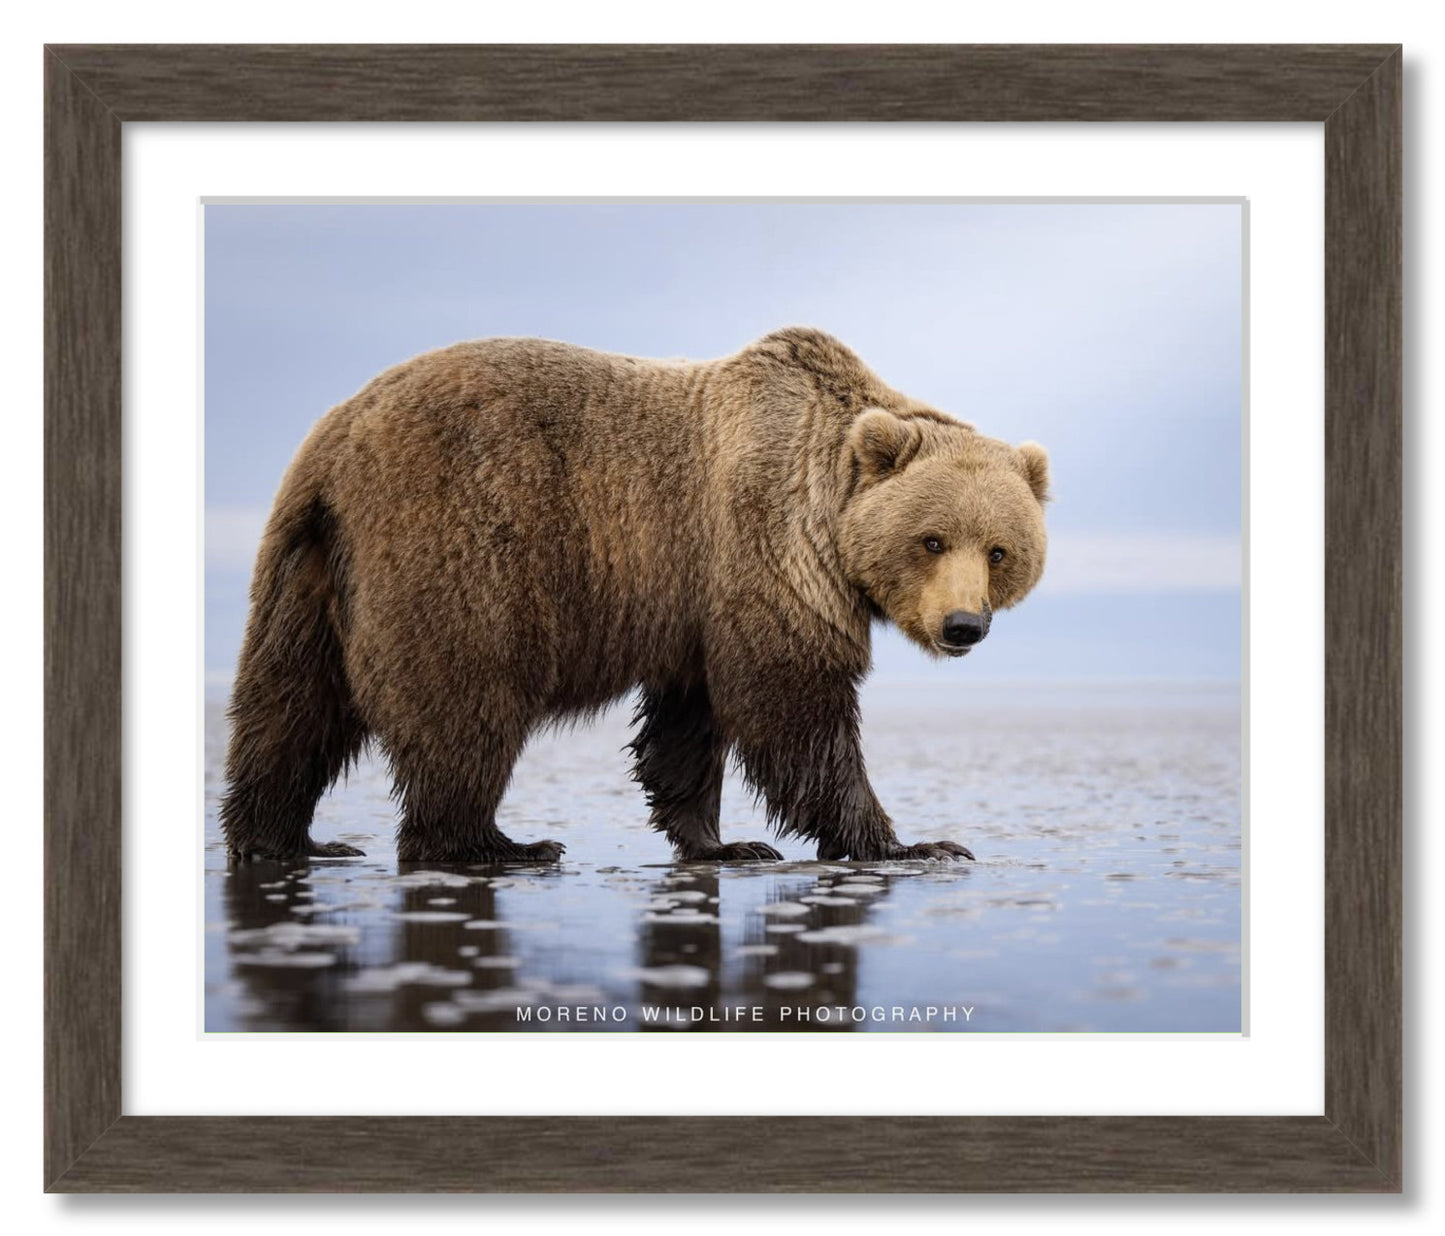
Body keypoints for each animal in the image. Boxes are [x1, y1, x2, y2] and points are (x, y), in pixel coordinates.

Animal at [220, 327, 1050, 865]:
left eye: (1000, 551)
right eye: (931, 540)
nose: (962, 625)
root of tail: (335, 443)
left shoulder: (692, 600)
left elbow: (689, 722)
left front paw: (722, 842)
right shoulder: (763, 547)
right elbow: (793, 704)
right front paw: (913, 843)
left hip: (307, 570)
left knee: (290, 706)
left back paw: (286, 838)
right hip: (460, 540)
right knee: (466, 700)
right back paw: (495, 843)